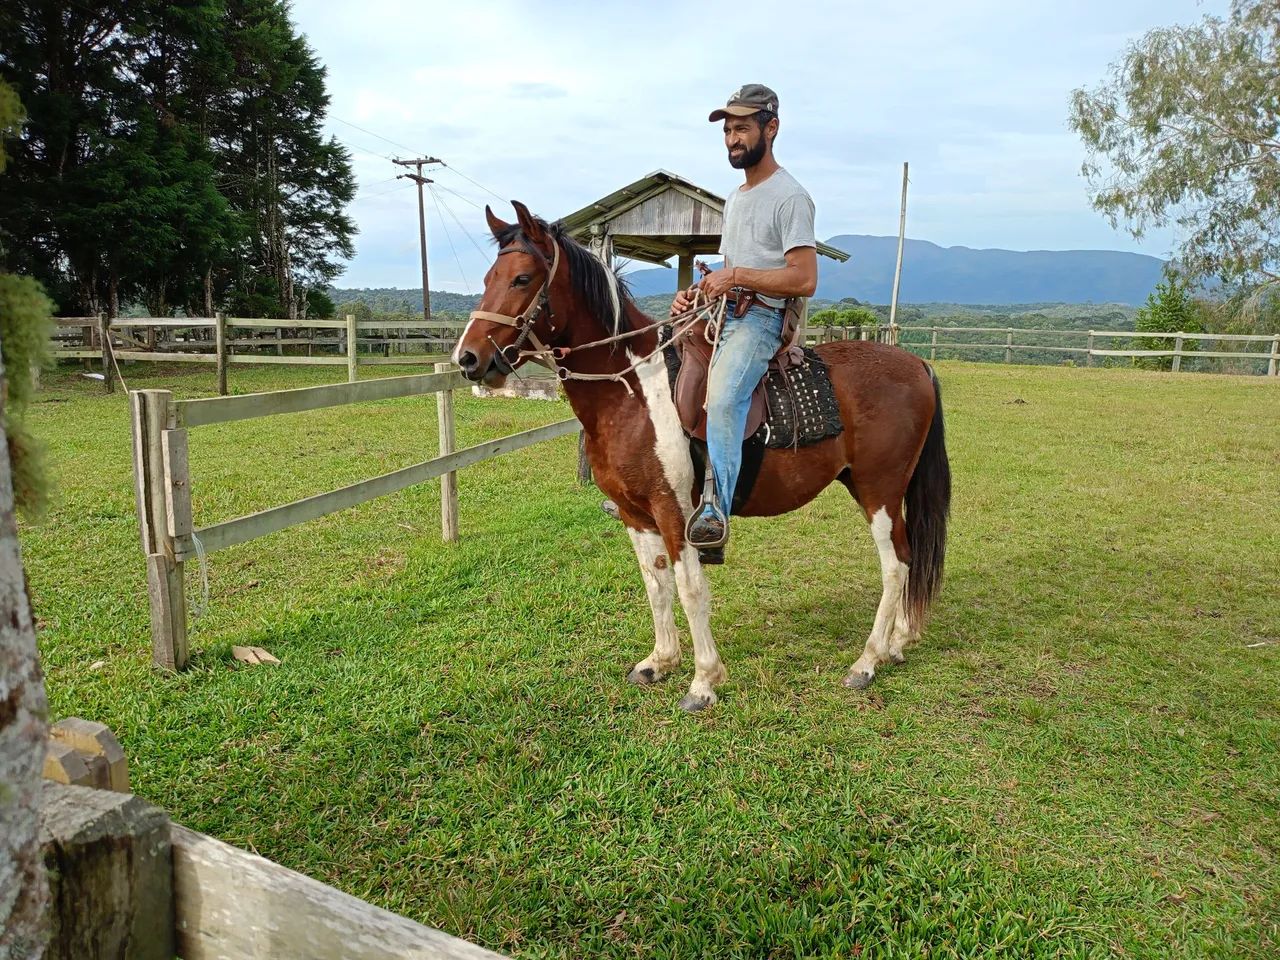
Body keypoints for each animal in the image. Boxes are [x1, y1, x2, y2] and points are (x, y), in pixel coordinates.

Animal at [453, 201, 951, 712]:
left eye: (522, 278)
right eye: (490, 276)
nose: (467, 359)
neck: (633, 392)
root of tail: (917, 363)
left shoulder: (676, 512)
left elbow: (691, 590)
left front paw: (703, 681)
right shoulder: (636, 515)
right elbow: (656, 586)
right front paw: (659, 661)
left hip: (879, 490)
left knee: (895, 566)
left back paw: (866, 662)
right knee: (910, 557)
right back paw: (897, 643)